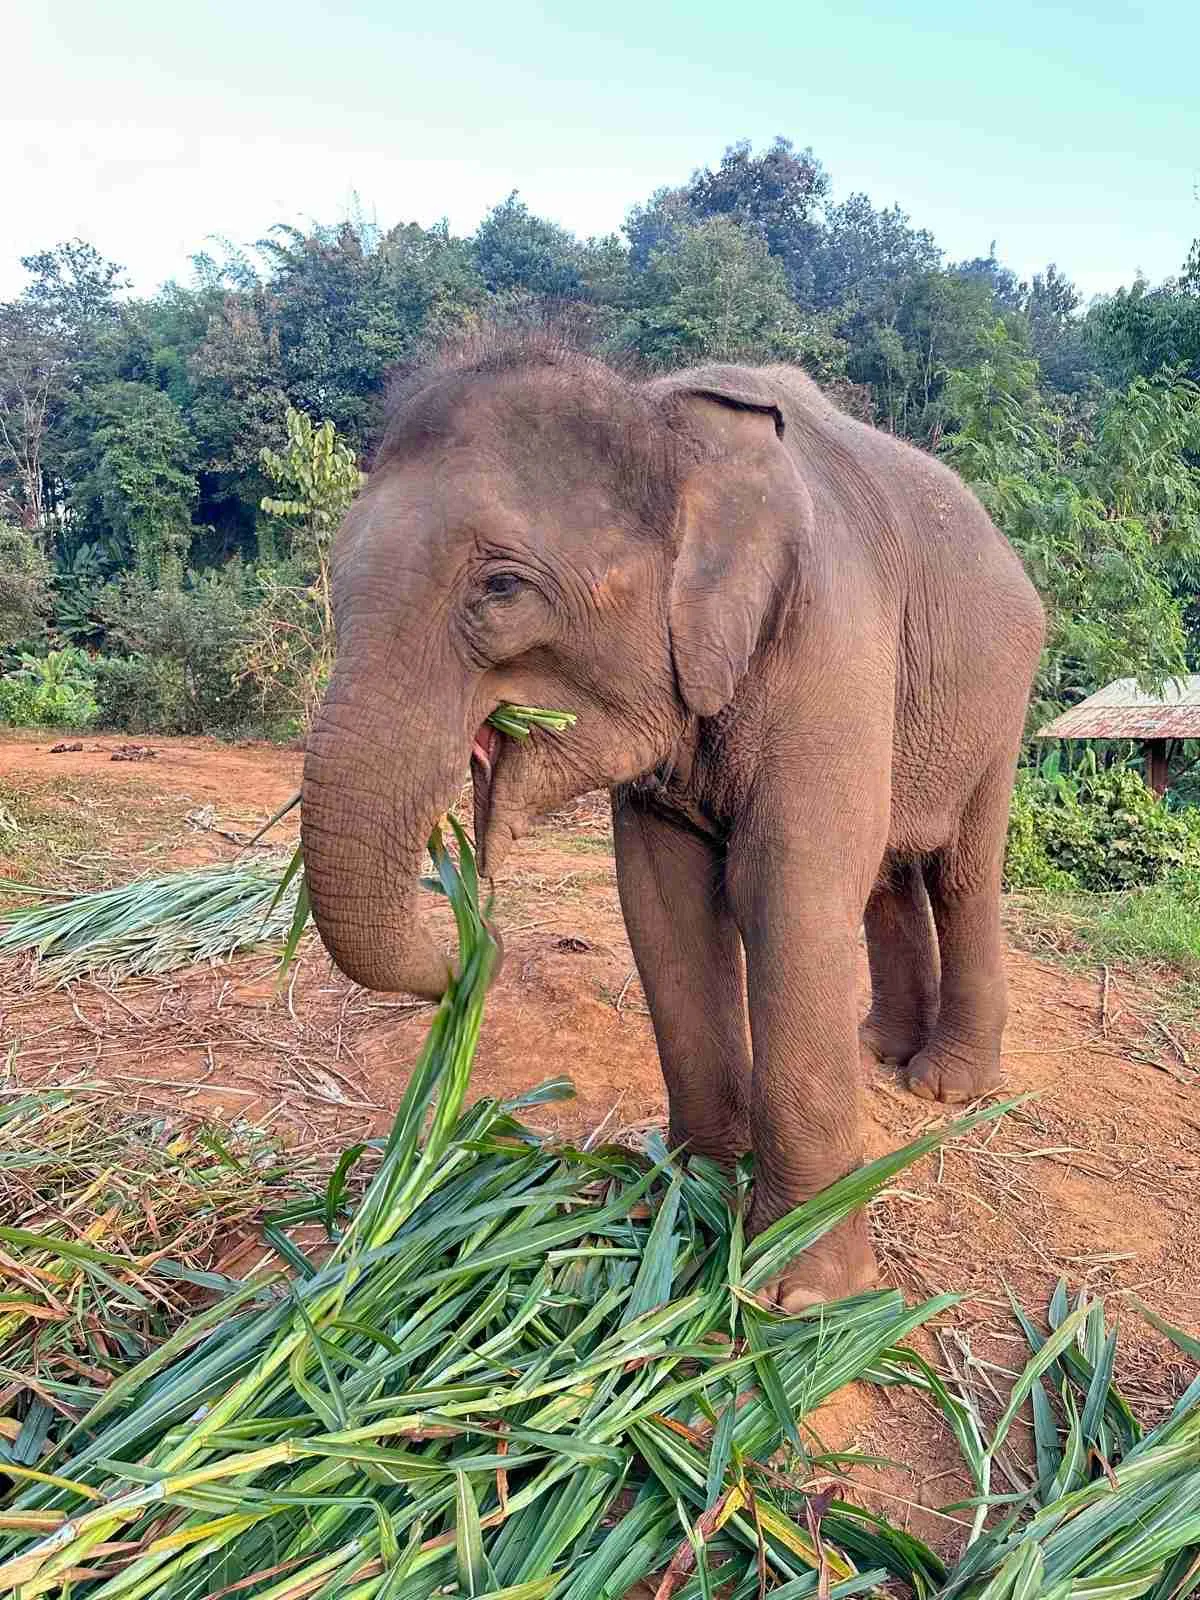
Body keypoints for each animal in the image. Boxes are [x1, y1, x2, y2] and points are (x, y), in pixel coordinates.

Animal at [300, 329, 1044, 1310]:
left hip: (1001, 705)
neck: (662, 414)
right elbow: (661, 900)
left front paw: (805, 1296)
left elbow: (791, 889)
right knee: (891, 870)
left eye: (501, 587)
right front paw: (681, 1208)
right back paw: (879, 1052)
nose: (473, 943)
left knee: (960, 868)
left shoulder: (833, 635)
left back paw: (942, 1090)